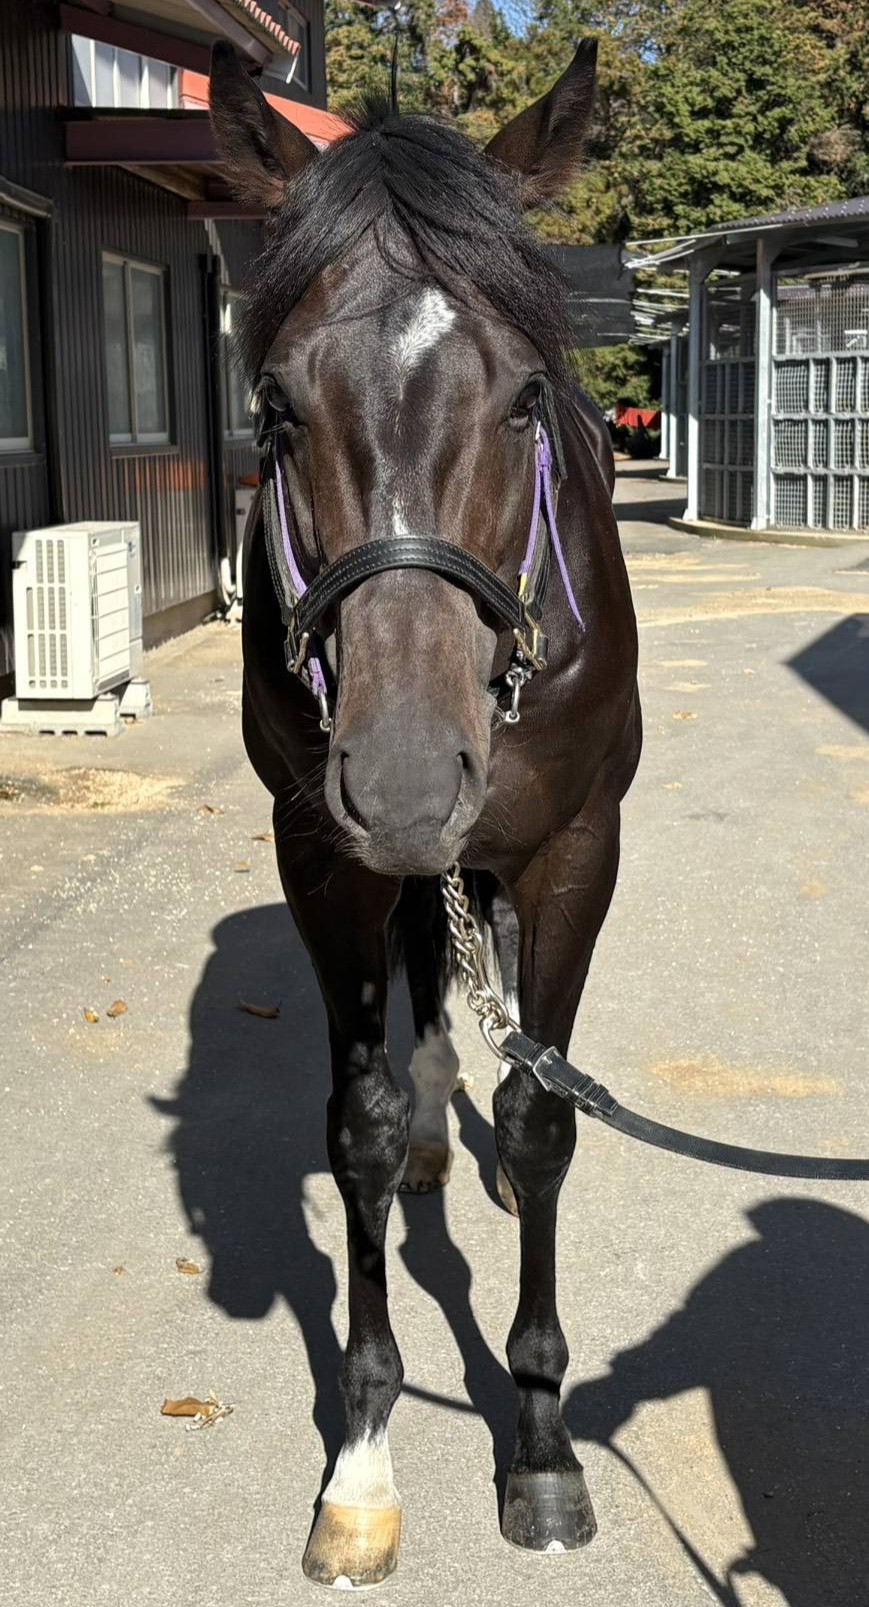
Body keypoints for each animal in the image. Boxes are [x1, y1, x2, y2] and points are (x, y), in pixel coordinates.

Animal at [209, 37, 641, 1590]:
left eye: (522, 400)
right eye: (277, 406)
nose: (402, 777)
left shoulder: (577, 849)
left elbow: (546, 1115)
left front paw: (542, 1437)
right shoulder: (320, 857)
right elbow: (362, 1122)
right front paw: (361, 1463)